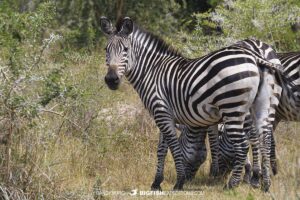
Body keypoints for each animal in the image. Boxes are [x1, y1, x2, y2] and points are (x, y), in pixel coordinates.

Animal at [101, 16, 284, 191]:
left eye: (126, 49)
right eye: (106, 50)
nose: (111, 80)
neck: (152, 72)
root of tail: (256, 56)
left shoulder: (161, 112)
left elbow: (174, 147)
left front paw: (179, 182)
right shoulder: (164, 115)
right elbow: (161, 149)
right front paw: (156, 182)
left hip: (233, 109)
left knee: (243, 145)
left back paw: (232, 185)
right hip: (261, 107)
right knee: (264, 140)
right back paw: (263, 184)